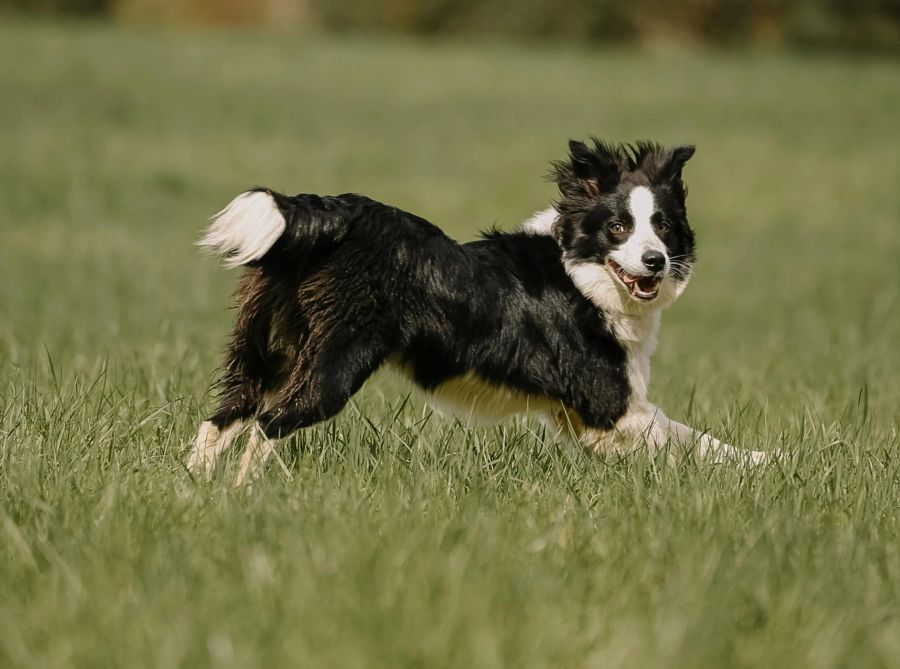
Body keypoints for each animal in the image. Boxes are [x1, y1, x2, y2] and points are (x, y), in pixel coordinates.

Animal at [186, 138, 768, 482]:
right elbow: (686, 436)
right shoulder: (607, 402)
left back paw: (196, 490)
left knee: (226, 415)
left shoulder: (579, 416)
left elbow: (685, 435)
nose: (655, 261)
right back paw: (247, 494)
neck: (581, 274)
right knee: (269, 423)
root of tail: (329, 213)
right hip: (335, 360)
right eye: (619, 227)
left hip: (265, 348)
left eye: (664, 227)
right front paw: (765, 465)